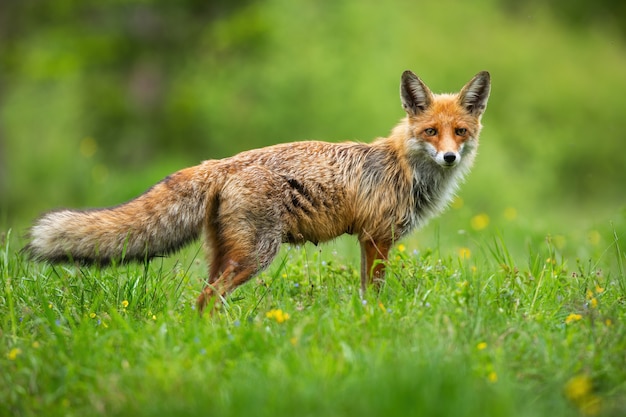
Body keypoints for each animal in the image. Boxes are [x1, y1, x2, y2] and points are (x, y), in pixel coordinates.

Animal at [24, 70, 488, 312]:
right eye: (431, 132)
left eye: (460, 132)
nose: (449, 157)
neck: (402, 169)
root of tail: (220, 162)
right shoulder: (376, 238)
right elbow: (373, 294)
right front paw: (374, 323)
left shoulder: (368, 240)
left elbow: (363, 293)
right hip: (258, 254)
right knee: (207, 299)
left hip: (224, 253)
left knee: (202, 300)